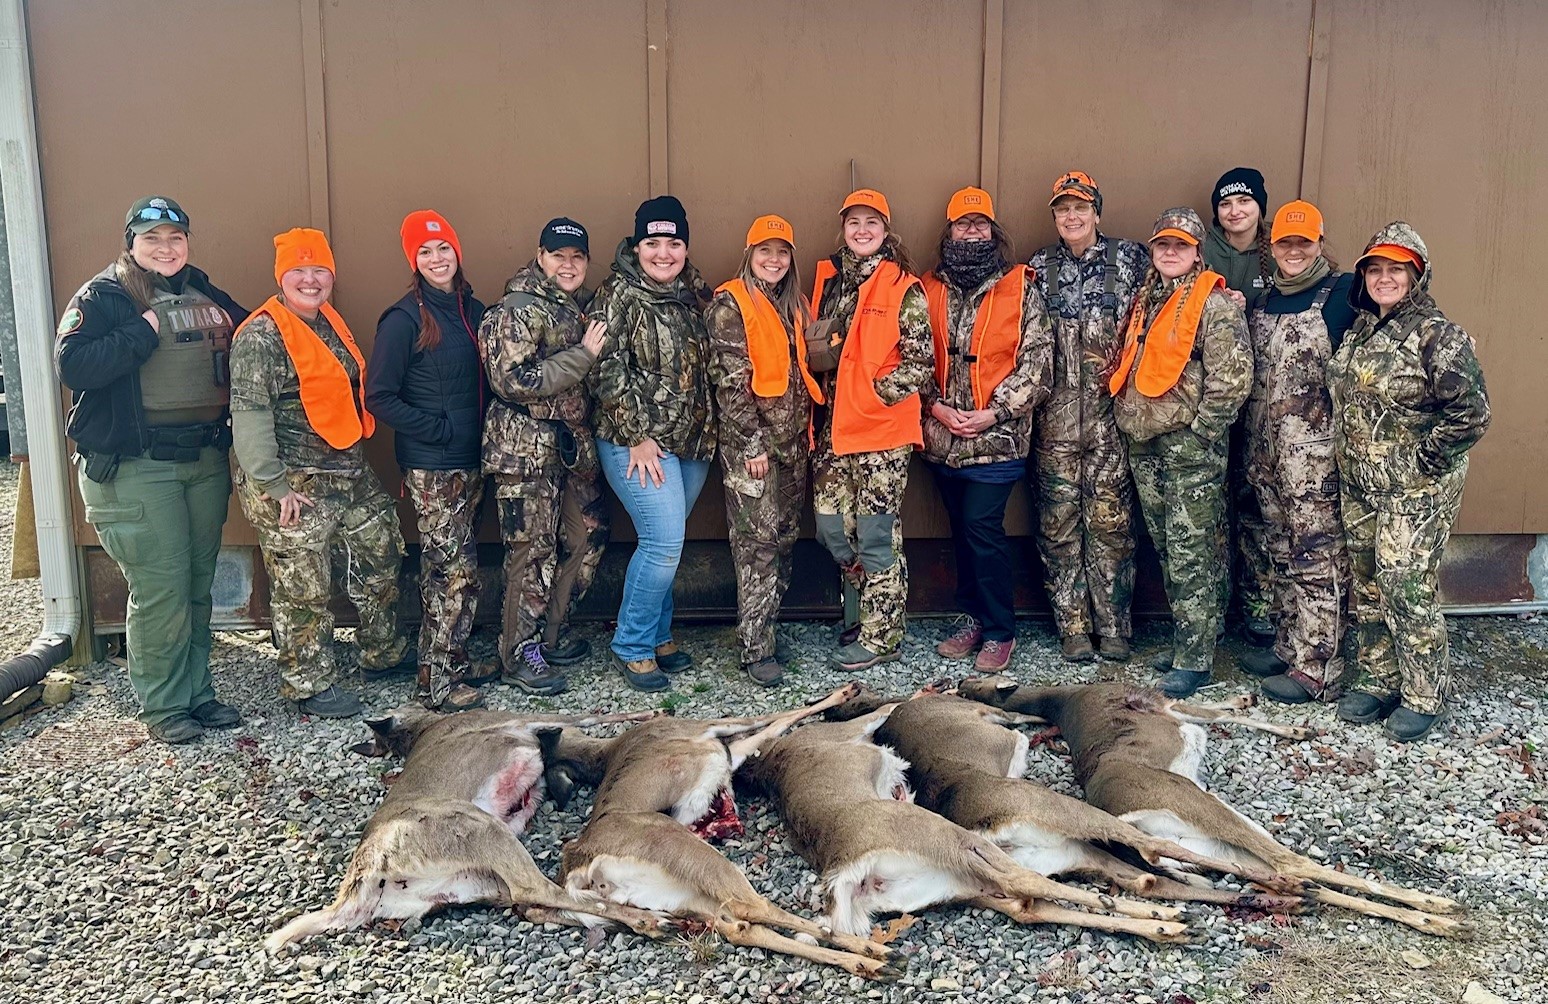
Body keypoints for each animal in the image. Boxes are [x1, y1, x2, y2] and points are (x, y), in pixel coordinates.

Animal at [264, 705, 671, 946]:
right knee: (539, 890)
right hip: (482, 829)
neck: (422, 729)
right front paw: (645, 713)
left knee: (537, 900)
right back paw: (650, 919)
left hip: (475, 881)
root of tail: (363, 874)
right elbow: (584, 719)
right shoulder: (520, 719)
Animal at [535, 680, 904, 977]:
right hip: (692, 856)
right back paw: (876, 952)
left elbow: (771, 726)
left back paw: (872, 964)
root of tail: (577, 862)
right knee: (754, 910)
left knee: (741, 928)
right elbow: (777, 717)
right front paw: (849, 693)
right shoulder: (714, 730)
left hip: (678, 891)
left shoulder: (725, 751)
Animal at [730, 693, 1188, 946]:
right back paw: (1167, 916)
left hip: (944, 882)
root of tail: (844, 873)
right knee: (1029, 880)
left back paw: (1168, 925)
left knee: (1025, 903)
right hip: (952, 839)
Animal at [953, 677, 1473, 934]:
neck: (1064, 700)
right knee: (1294, 864)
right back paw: (1438, 907)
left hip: (1214, 837)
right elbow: (1220, 712)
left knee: (1286, 877)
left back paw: (1434, 919)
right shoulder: (1168, 707)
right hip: (1202, 807)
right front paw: (1292, 725)